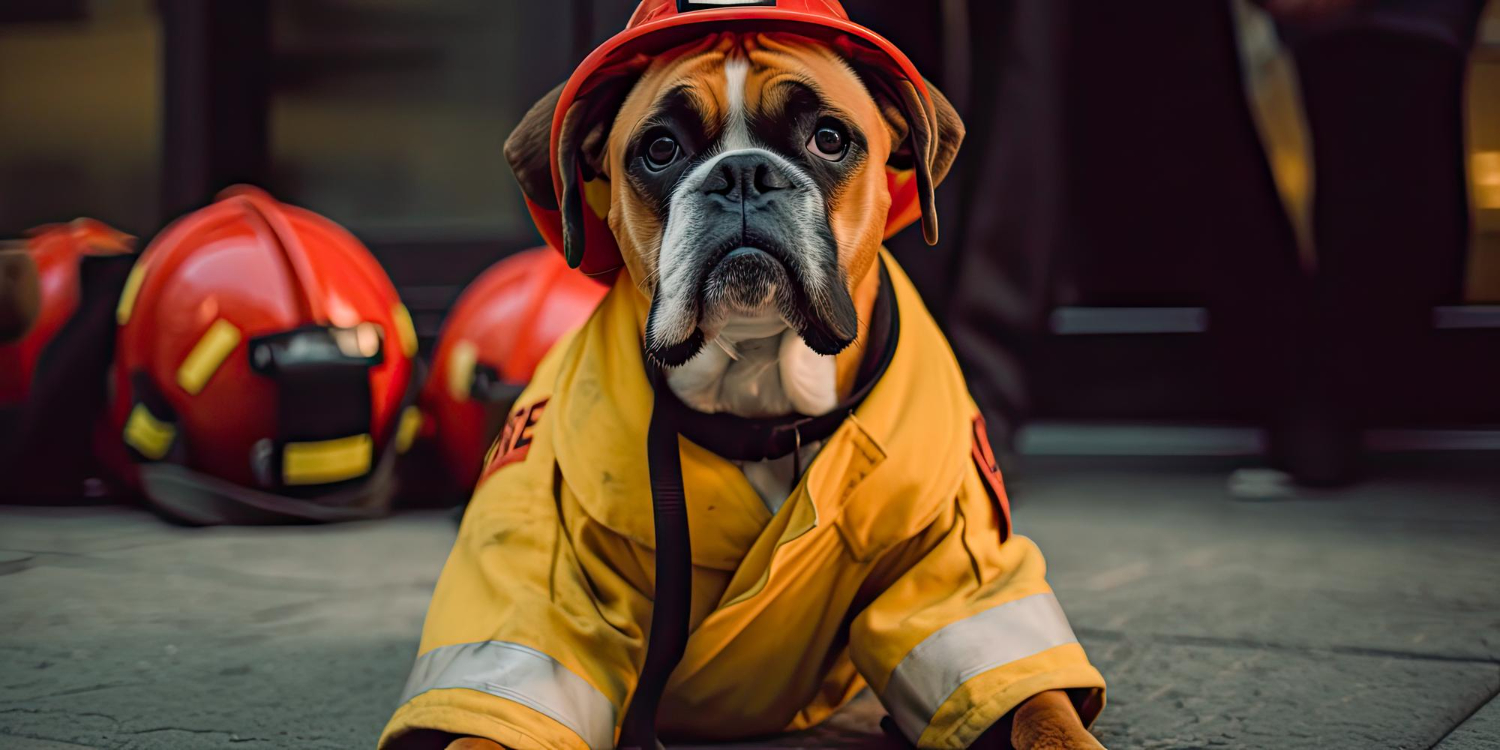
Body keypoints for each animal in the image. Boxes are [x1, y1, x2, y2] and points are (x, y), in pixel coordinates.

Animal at [444, 33, 1104, 750]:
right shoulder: (550, 589)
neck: (759, 387)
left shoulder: (954, 579)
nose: (741, 174)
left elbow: (1040, 708)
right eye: (660, 149)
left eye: (829, 139)